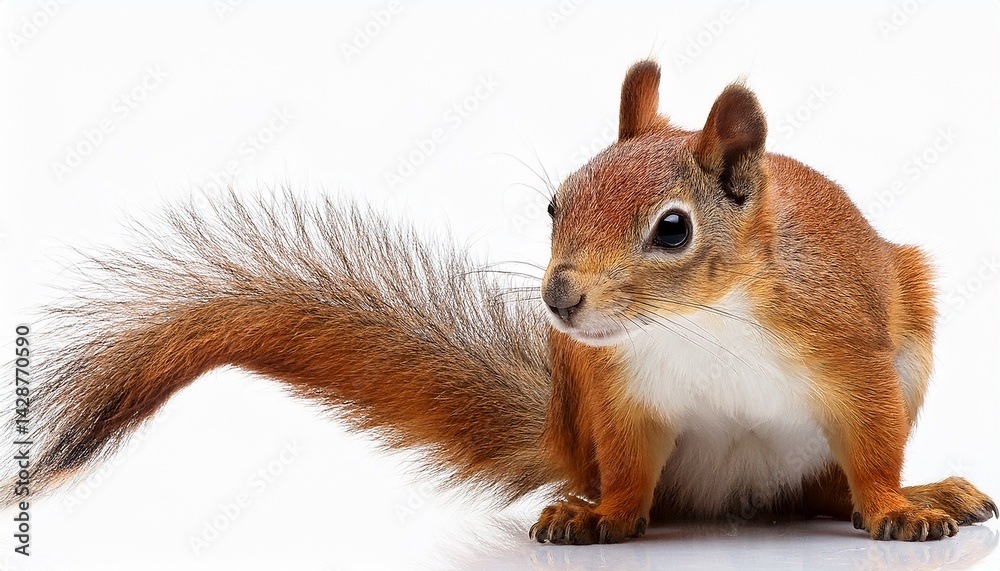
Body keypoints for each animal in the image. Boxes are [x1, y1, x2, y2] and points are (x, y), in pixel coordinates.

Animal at [6, 59, 996, 545]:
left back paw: (912, 491)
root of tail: (735, 500)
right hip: (584, 402)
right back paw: (584, 502)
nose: (560, 298)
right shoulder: (619, 392)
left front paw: (895, 504)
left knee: (827, 487)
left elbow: (871, 445)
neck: (698, 323)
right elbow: (629, 470)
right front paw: (602, 515)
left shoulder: (849, 352)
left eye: (673, 229)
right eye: (556, 202)